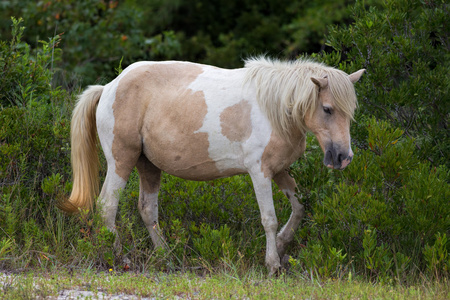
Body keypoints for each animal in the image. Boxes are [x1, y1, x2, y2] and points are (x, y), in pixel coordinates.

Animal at [59, 56, 364, 274]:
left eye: (350, 111)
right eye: (327, 109)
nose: (343, 157)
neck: (274, 109)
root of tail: (109, 87)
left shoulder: (278, 171)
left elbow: (299, 208)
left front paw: (280, 245)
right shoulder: (260, 172)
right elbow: (269, 219)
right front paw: (272, 264)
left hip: (148, 165)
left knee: (147, 210)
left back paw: (166, 258)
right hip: (121, 160)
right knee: (107, 206)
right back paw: (120, 257)